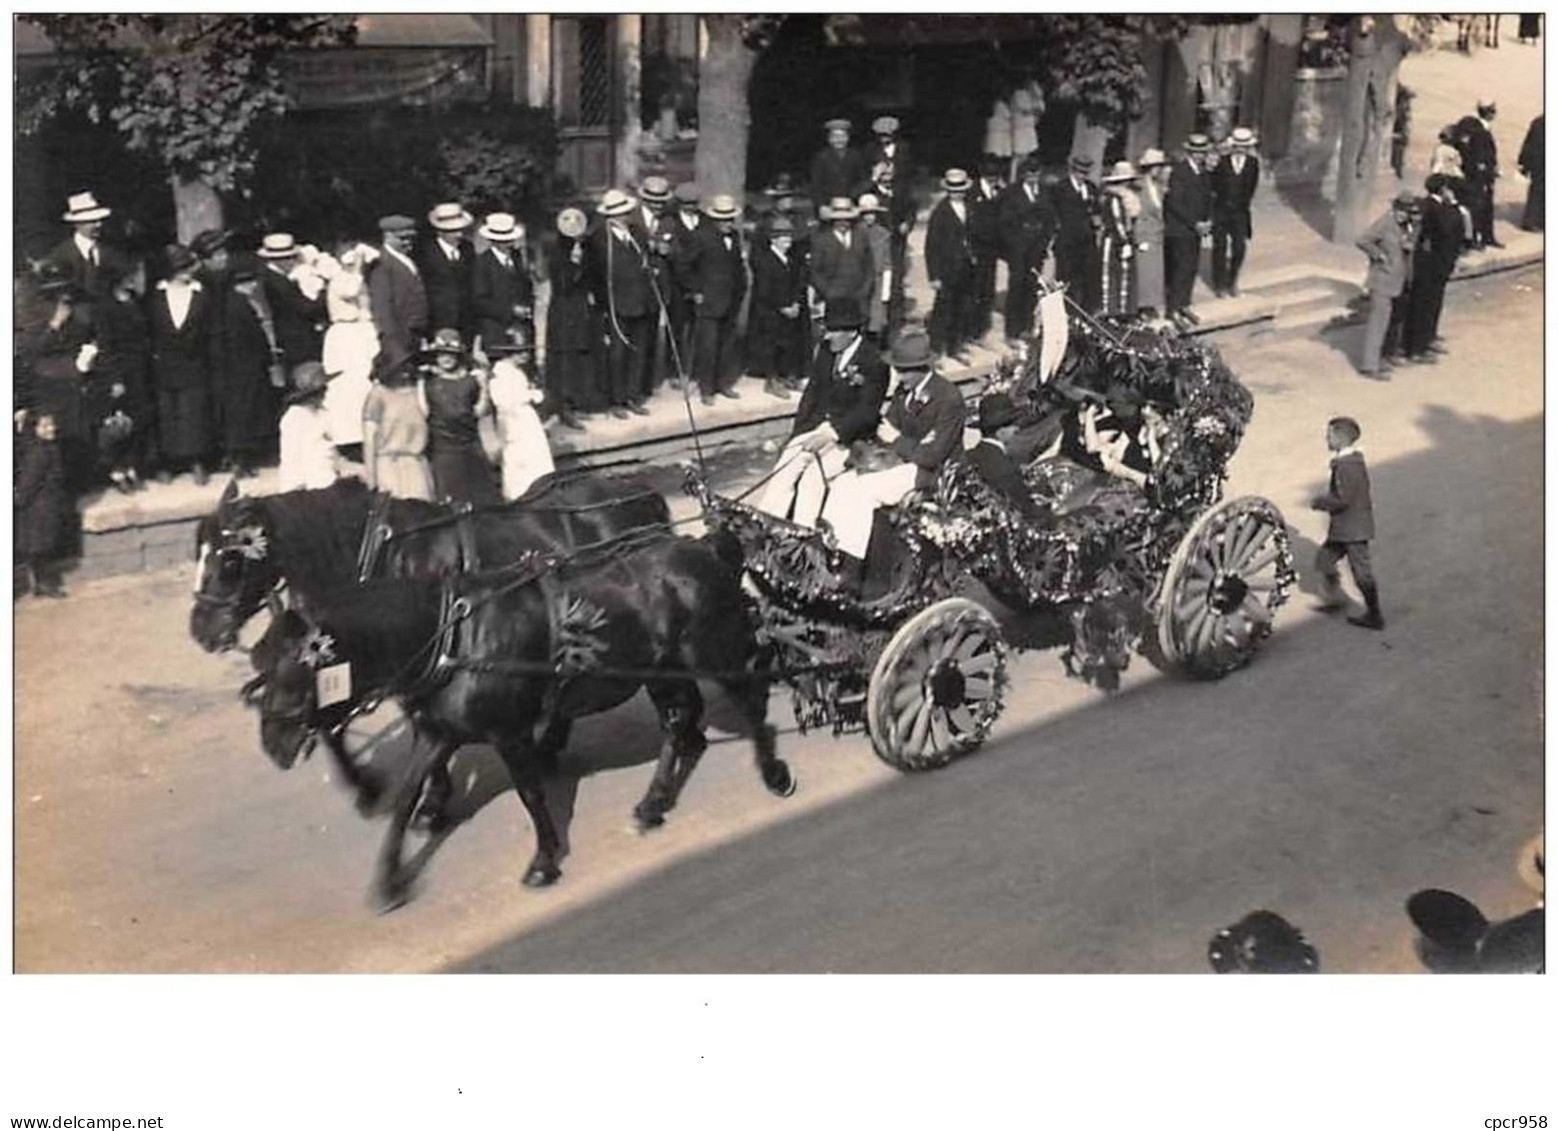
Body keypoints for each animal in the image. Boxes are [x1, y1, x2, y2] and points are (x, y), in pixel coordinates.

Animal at [249, 532, 797, 909]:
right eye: (260, 664)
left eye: (293, 670)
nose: (274, 744)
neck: (452, 636)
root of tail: (704, 547)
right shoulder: (438, 732)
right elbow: (407, 797)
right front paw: (390, 880)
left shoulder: (508, 733)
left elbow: (530, 793)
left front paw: (544, 861)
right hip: (659, 670)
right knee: (681, 723)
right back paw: (654, 801)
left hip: (712, 649)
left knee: (748, 702)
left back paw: (773, 772)